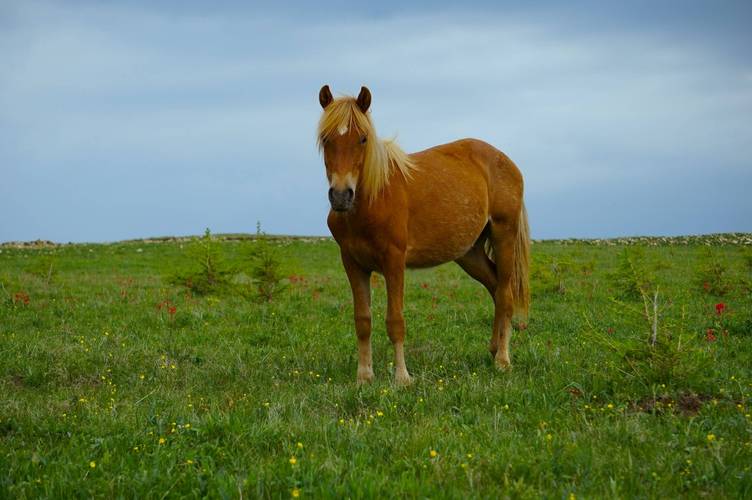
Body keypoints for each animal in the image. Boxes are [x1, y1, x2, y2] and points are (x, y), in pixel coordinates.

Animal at [316, 84, 528, 384]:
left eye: (363, 139)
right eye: (326, 138)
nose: (341, 196)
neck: (373, 201)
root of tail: (506, 162)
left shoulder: (394, 261)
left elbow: (395, 321)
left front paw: (402, 378)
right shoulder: (353, 264)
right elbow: (363, 321)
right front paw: (364, 377)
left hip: (504, 234)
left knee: (506, 295)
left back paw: (503, 360)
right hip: (469, 253)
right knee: (496, 288)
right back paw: (493, 348)